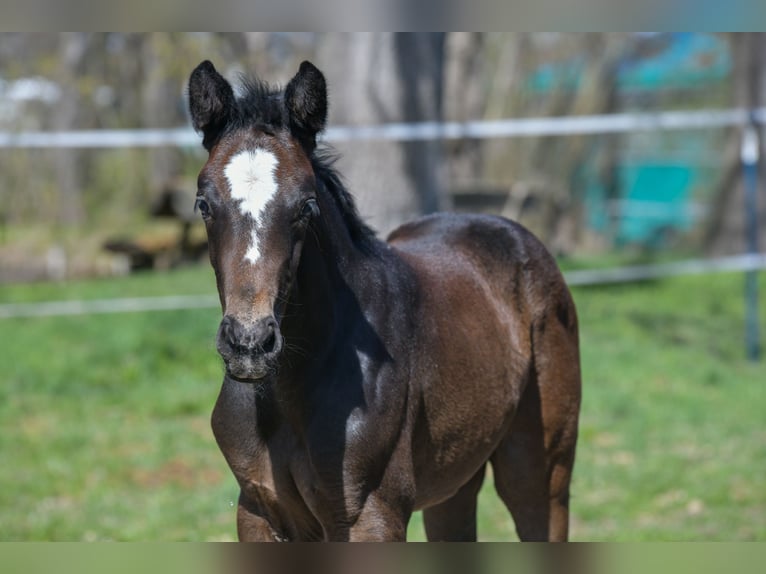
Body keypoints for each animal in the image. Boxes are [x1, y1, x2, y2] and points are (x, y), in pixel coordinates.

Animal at [187, 59, 581, 542]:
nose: (249, 343)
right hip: (454, 480)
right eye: (204, 204)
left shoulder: (372, 514)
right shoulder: (258, 511)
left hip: (540, 471)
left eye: (306, 206)